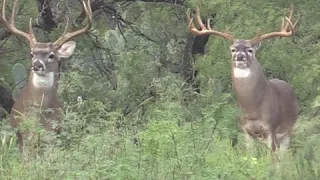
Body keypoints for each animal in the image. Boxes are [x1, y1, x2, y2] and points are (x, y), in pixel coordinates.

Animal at [0, 0, 92, 156]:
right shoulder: (27, 133)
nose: (36, 65)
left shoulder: (54, 133)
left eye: (51, 55)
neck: (41, 113)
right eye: (32, 54)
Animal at [188, 3, 300, 152]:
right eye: (233, 49)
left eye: (250, 50)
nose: (240, 57)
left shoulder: (271, 128)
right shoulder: (245, 130)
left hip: (289, 129)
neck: (253, 109)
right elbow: (250, 155)